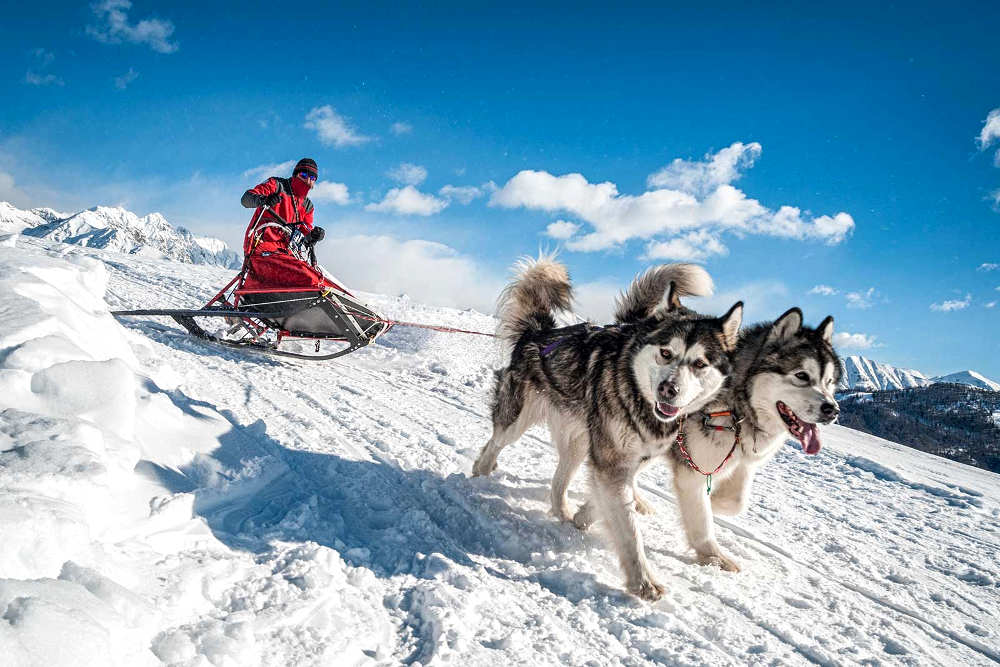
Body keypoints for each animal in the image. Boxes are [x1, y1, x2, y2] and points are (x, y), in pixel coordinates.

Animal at [470, 258, 744, 600]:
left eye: (700, 364)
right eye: (666, 352)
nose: (669, 389)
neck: (637, 395)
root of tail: (539, 332)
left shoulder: (631, 461)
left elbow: (612, 504)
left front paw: (584, 517)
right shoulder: (612, 464)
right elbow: (629, 531)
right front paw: (643, 582)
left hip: (577, 444)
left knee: (559, 482)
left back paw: (562, 512)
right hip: (518, 419)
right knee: (494, 442)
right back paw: (480, 474)